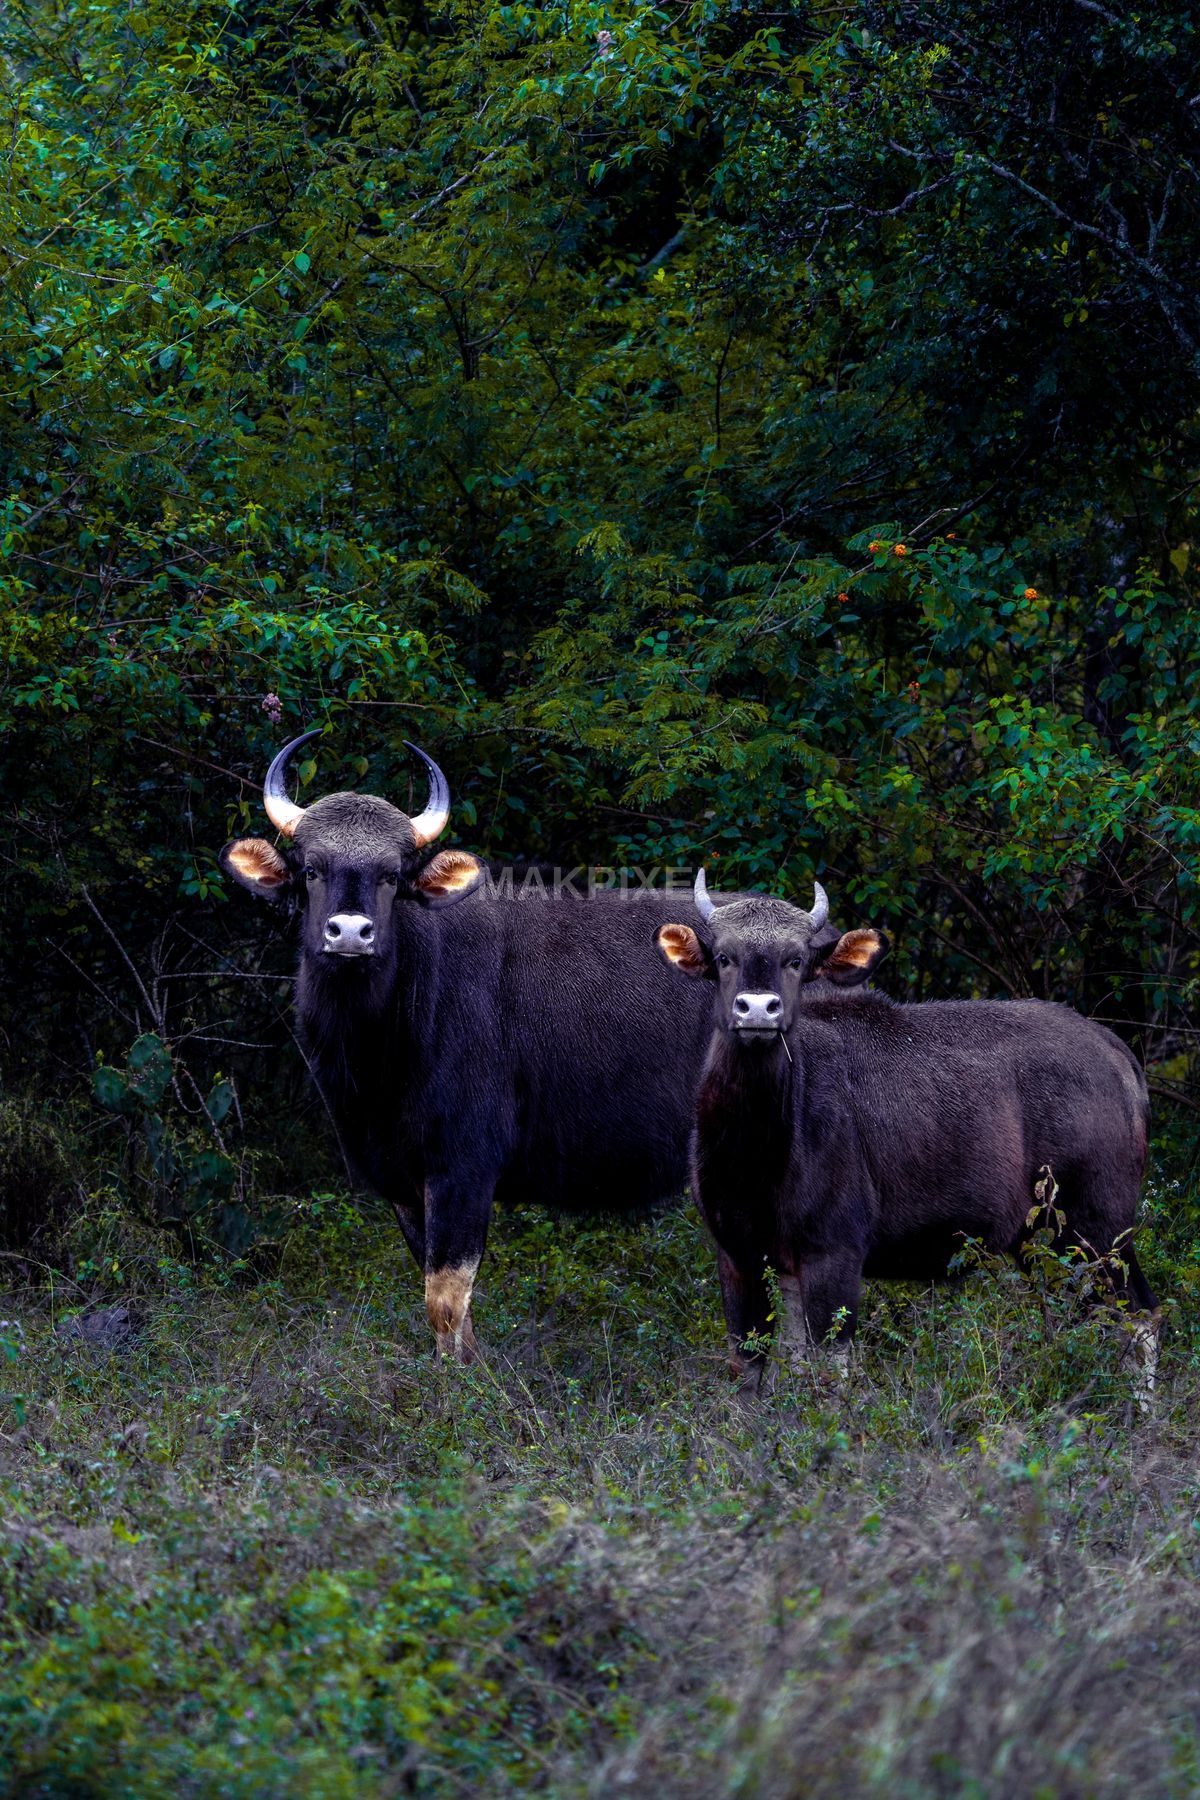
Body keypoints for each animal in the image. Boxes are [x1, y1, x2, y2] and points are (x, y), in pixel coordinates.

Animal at [221, 734, 787, 1357]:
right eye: (312, 869)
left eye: (393, 874)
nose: (349, 933)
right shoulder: (404, 1184)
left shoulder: (464, 1166)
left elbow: (445, 1300)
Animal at [656, 871, 1159, 1396]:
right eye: (723, 957)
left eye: (795, 960)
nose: (758, 1011)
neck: (757, 1155)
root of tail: (1118, 1052)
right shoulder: (741, 1254)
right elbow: (755, 1369)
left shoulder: (836, 1251)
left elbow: (828, 1373)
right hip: (1044, 1239)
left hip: (1097, 1226)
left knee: (1137, 1313)